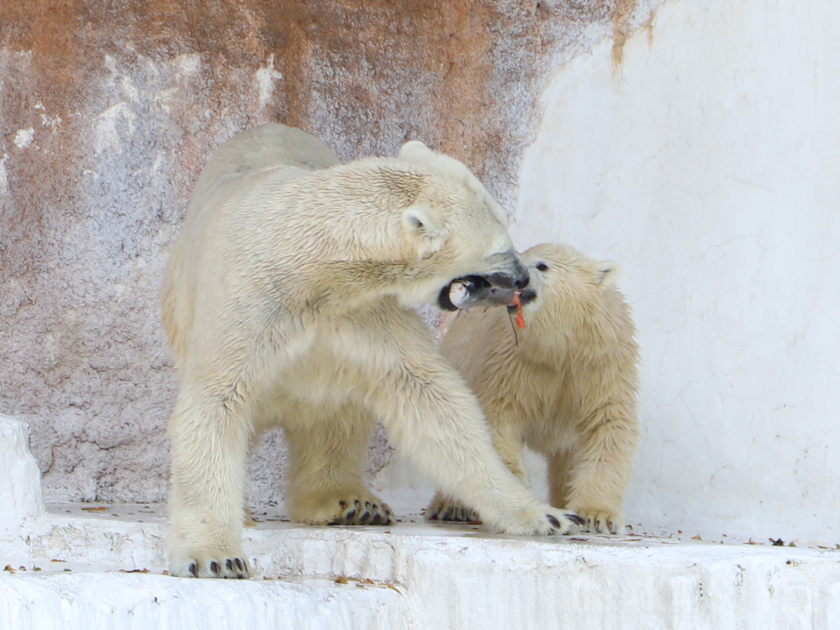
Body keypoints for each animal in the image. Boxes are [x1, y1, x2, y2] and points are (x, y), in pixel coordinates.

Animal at [161, 121, 580, 580]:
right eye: (499, 246)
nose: (522, 278)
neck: (313, 267)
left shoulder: (365, 312)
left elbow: (431, 397)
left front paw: (545, 514)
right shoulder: (253, 305)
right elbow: (217, 401)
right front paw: (217, 557)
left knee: (336, 418)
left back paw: (350, 503)